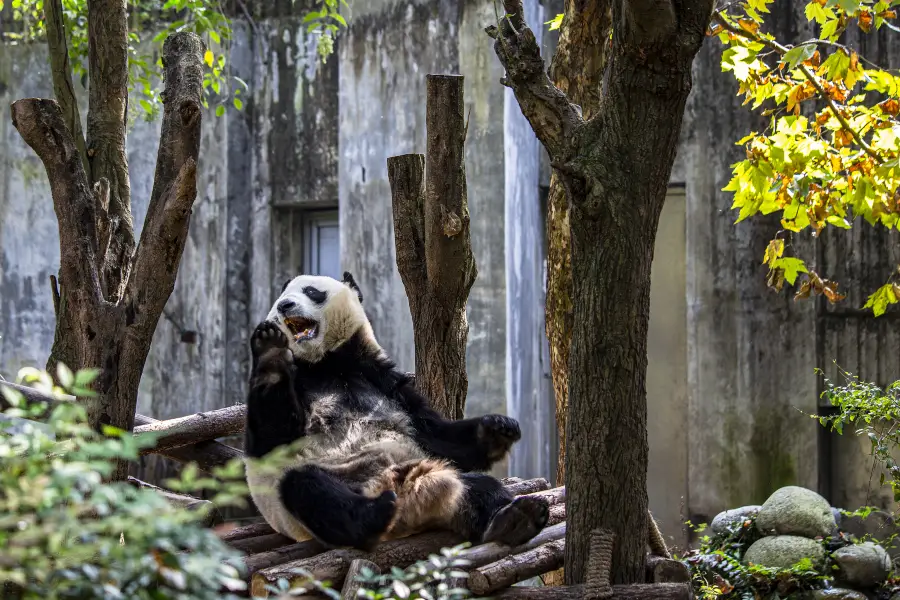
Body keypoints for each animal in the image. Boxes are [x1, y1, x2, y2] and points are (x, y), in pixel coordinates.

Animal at [243, 274, 548, 552]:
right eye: (281, 297)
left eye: (311, 291)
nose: (285, 305)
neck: (325, 363)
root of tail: (405, 495)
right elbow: (271, 438)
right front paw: (270, 350)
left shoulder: (382, 380)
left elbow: (435, 433)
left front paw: (499, 429)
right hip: (335, 483)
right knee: (308, 489)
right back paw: (373, 515)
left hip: (428, 470)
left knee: (479, 487)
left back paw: (516, 519)